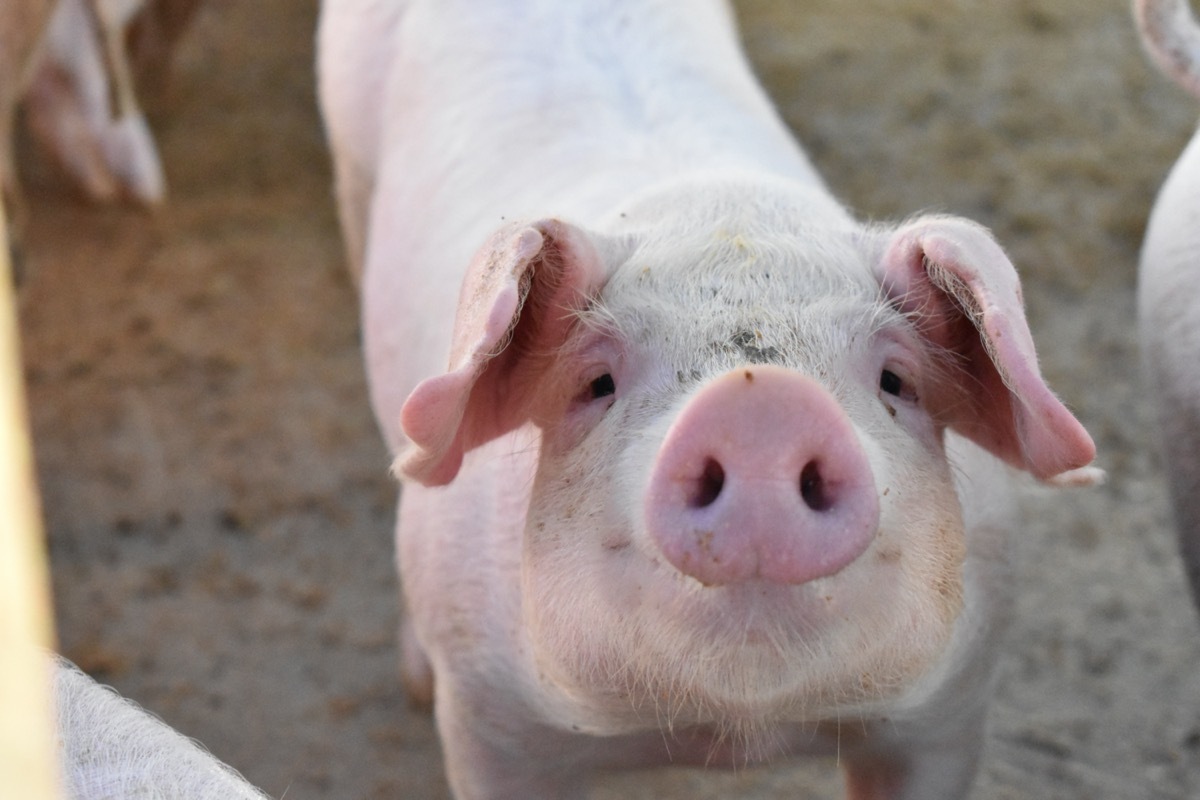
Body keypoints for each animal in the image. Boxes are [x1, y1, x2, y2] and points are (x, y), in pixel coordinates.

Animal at [317, 1, 1098, 798]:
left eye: (895, 381)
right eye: (596, 384)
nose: (761, 404)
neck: (734, 730)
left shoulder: (952, 707)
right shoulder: (488, 716)